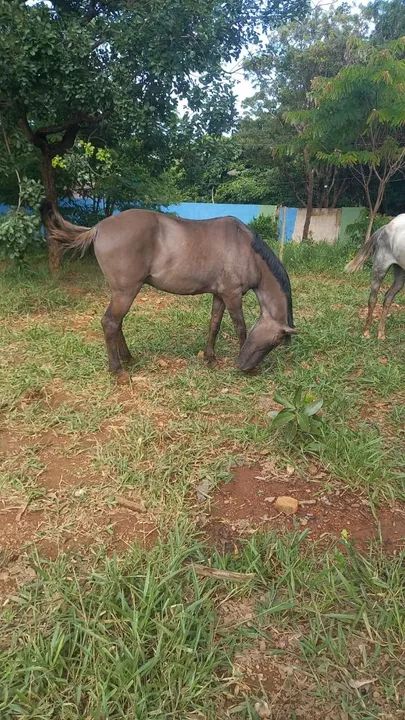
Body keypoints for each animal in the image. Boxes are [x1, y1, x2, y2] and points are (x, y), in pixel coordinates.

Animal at [41, 202, 295, 380]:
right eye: (274, 341)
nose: (245, 365)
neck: (246, 249)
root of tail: (98, 228)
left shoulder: (220, 295)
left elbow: (214, 324)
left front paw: (210, 358)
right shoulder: (232, 296)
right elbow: (240, 328)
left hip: (121, 293)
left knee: (116, 323)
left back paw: (128, 358)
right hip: (126, 291)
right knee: (110, 323)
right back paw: (118, 370)